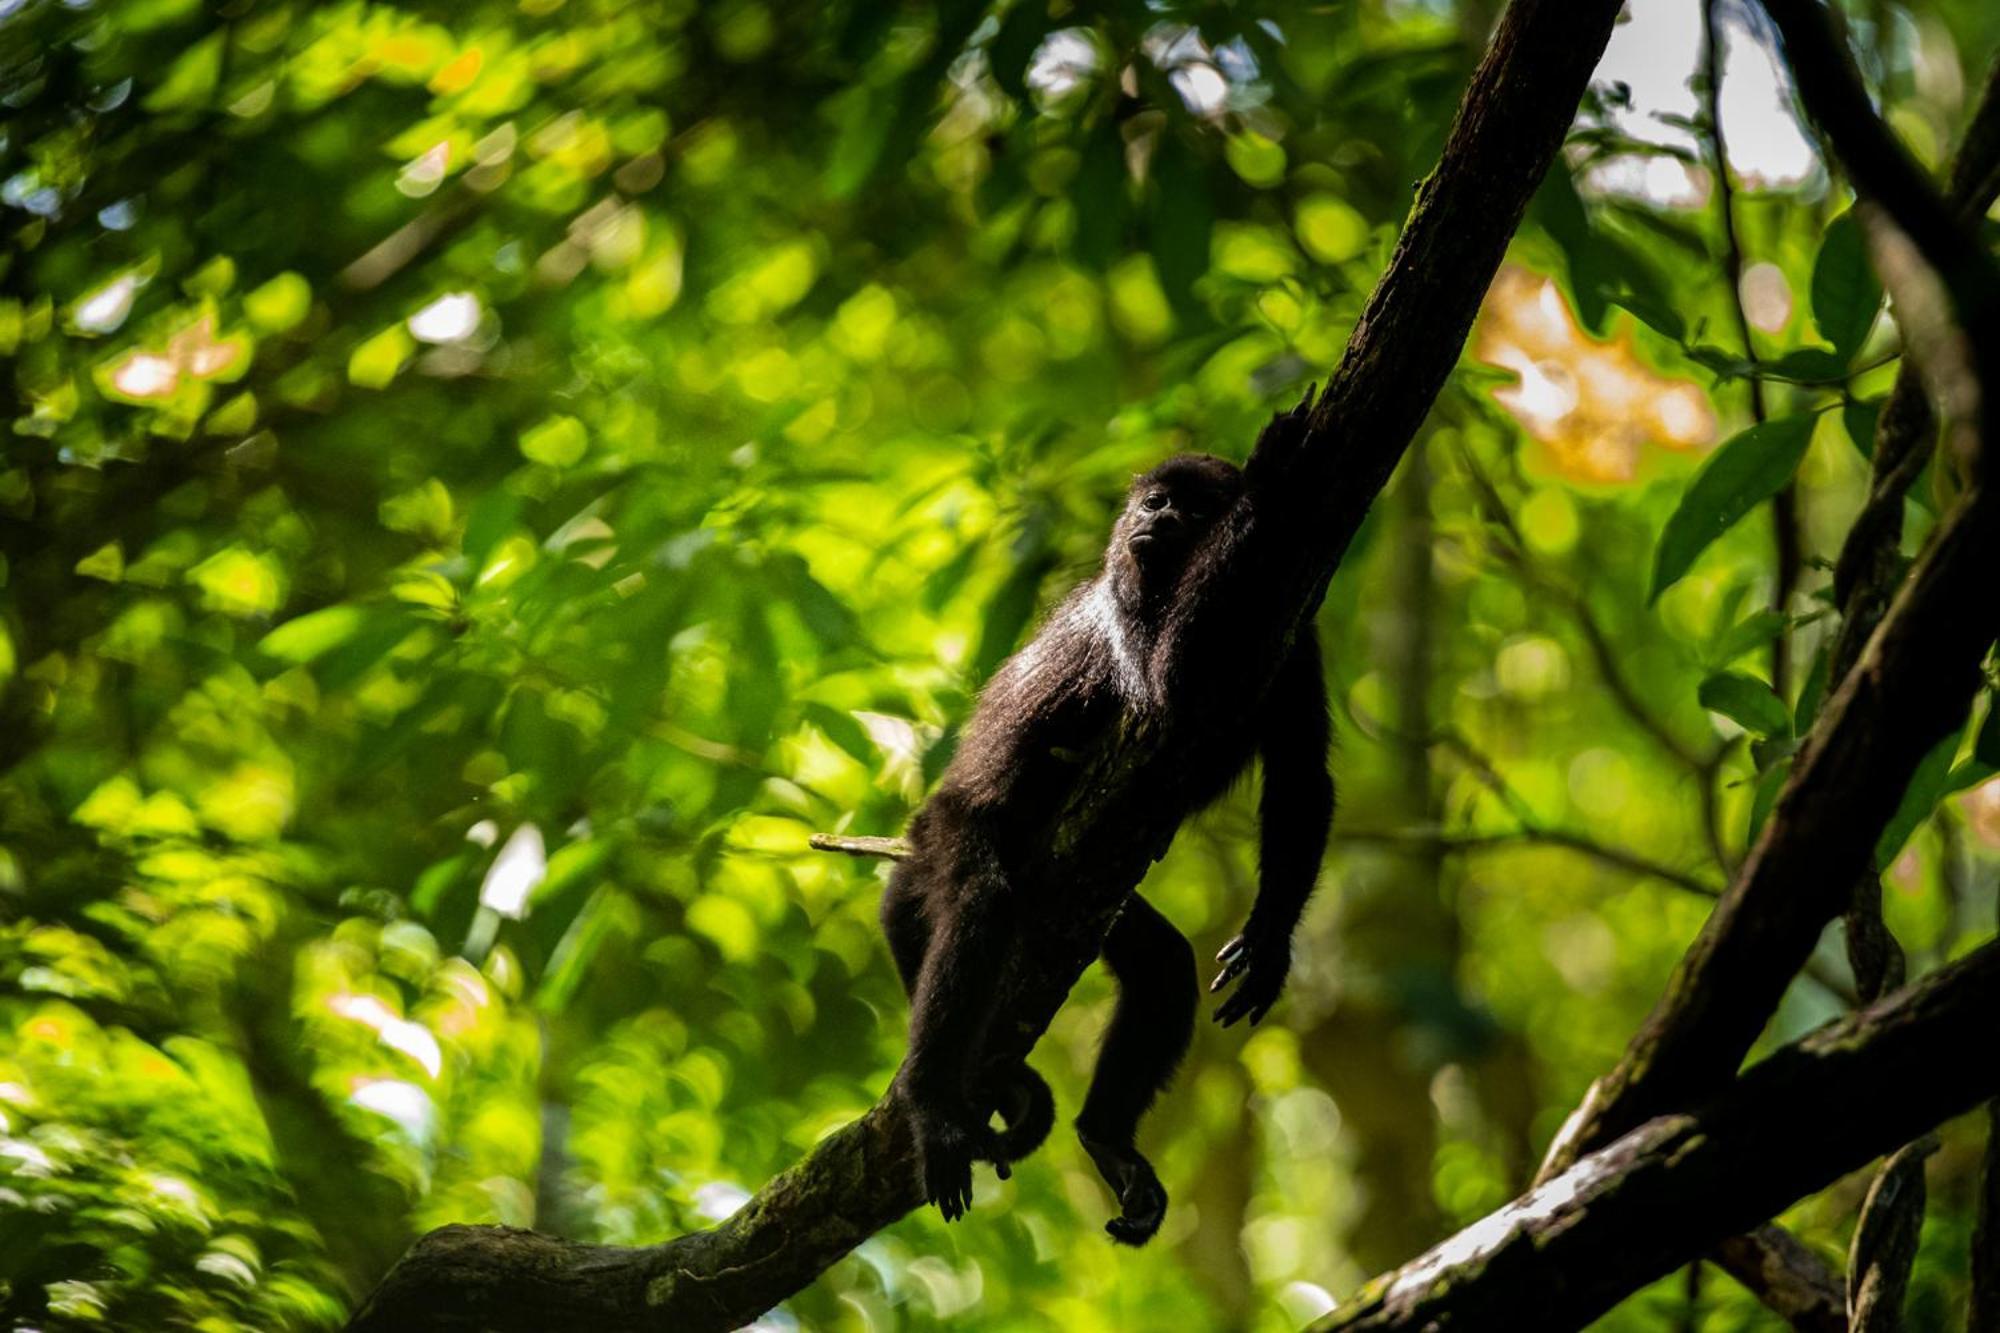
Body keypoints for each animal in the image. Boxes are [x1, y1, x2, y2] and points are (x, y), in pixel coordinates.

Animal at [884, 390, 1336, 1240]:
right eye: (1156, 501)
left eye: (1192, 507)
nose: (1159, 516)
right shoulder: (1126, 606)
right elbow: (1167, 690)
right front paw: (1267, 486)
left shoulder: (1299, 631)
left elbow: (1301, 773)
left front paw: (1270, 936)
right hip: (954, 828)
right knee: (980, 905)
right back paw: (930, 1106)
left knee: (1163, 968)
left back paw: (1107, 1138)